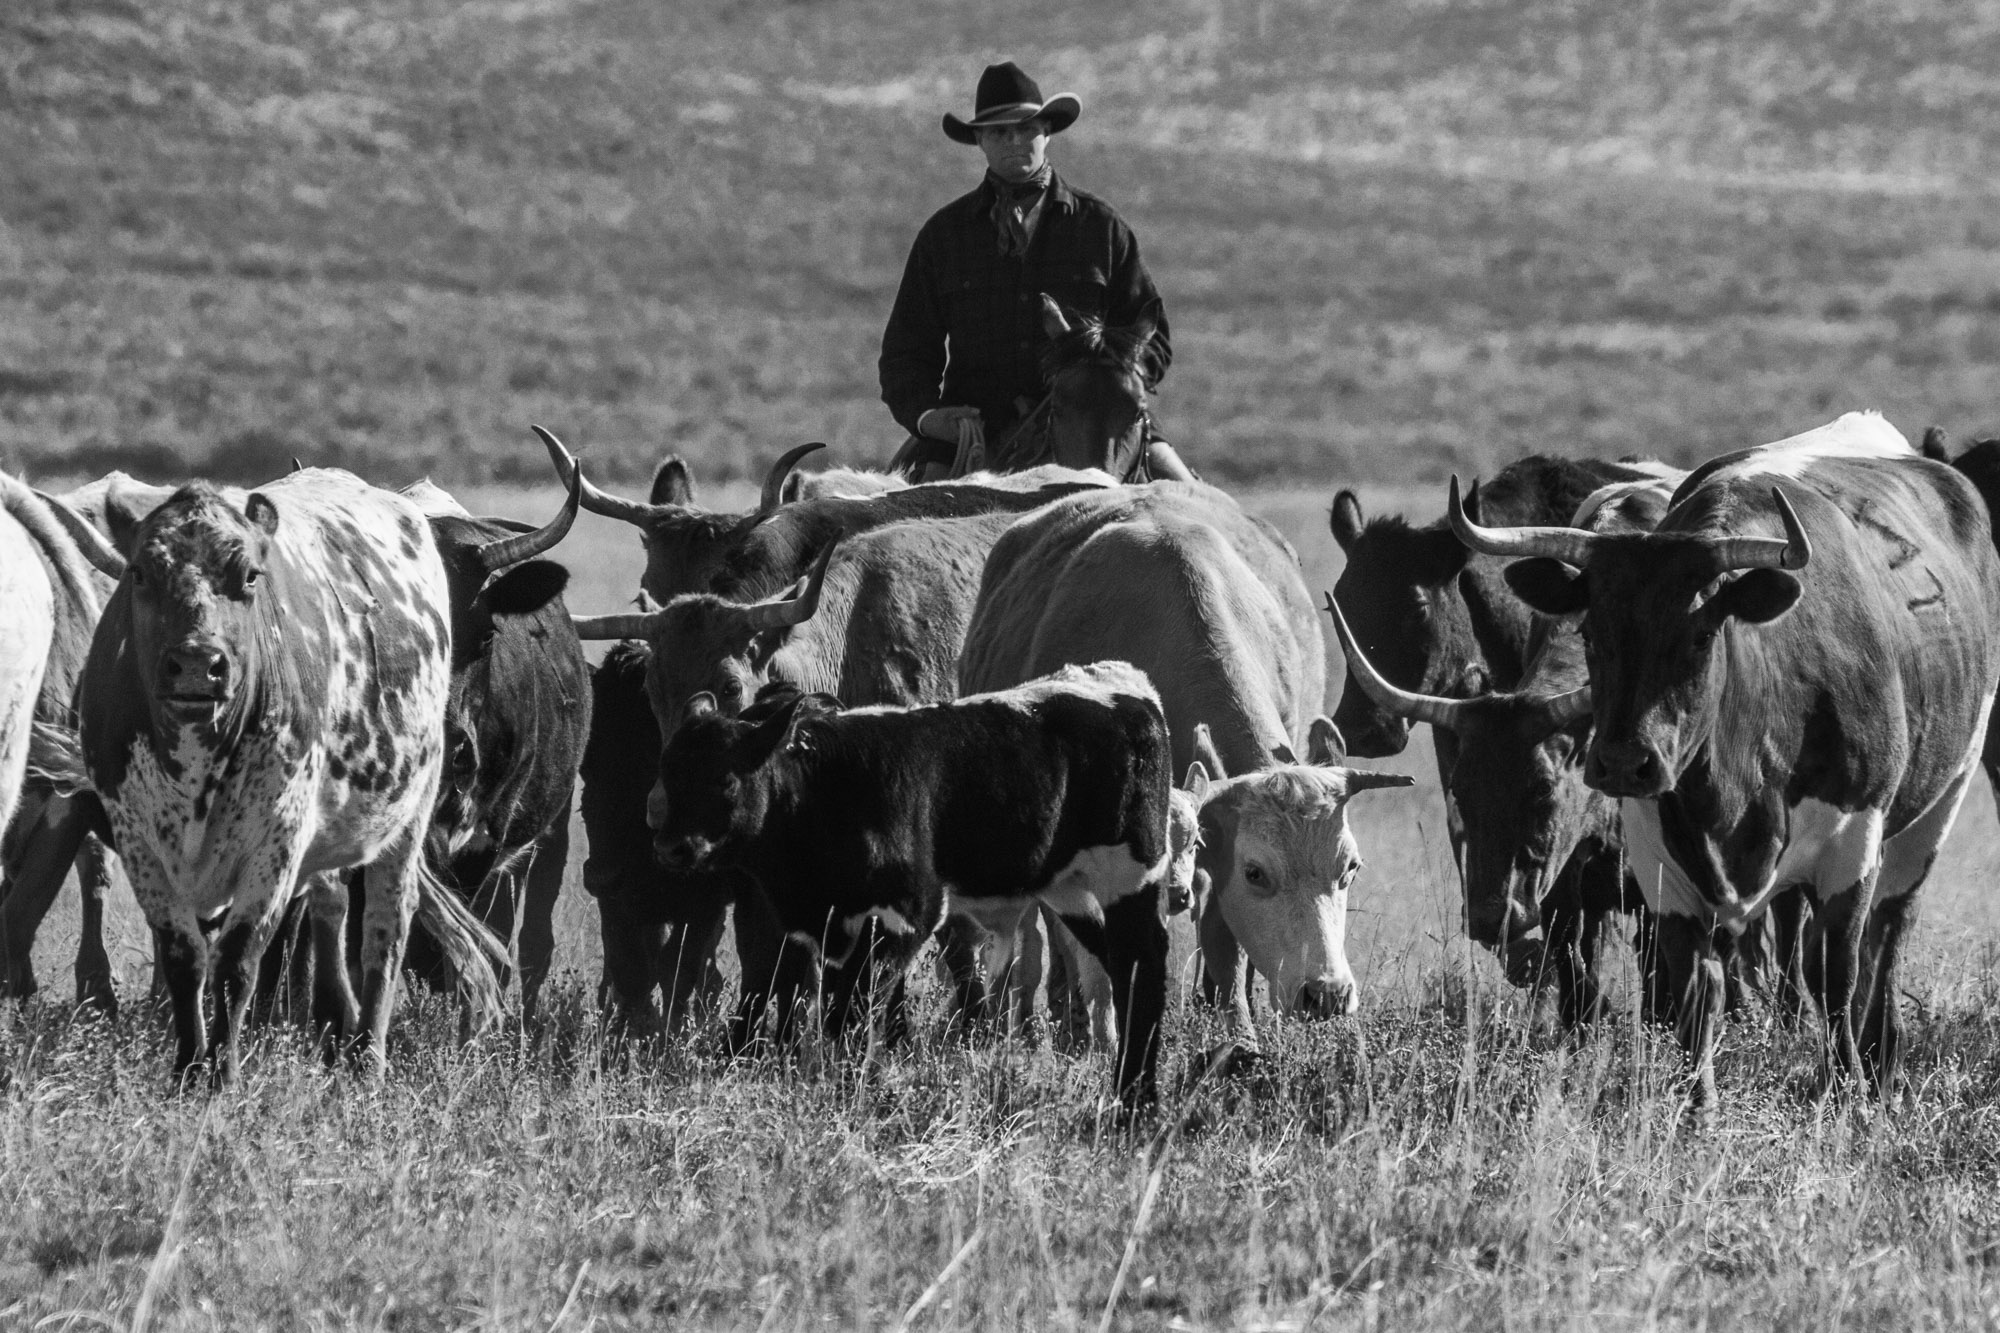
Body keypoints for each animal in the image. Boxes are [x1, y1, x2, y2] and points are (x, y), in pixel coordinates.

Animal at [75, 466, 476, 1080]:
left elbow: (237, 961)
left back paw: (369, 1055)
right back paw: (336, 1024)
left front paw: (222, 1074)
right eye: (140, 572)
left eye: (249, 575)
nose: (197, 664)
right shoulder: (139, 840)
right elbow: (184, 959)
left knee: (385, 929)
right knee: (332, 904)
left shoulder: (275, 840)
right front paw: (188, 1068)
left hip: (409, 813)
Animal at [656, 660, 1184, 1096]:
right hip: (1070, 889)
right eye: (667, 777)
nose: (671, 847)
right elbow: (830, 1007)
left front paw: (856, 1091)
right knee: (1117, 963)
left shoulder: (910, 912)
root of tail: (1122, 681)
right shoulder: (831, 926)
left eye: (725, 780)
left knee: (1143, 965)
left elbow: (858, 1011)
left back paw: (1136, 1101)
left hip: (1129, 873)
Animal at [1456, 416, 2000, 1096]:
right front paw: (1698, 1105)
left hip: (1941, 800)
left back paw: (1883, 1056)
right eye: (1589, 631)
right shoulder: (1659, 855)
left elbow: (1835, 973)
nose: (1622, 763)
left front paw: (1845, 1092)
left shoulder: (1853, 837)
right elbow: (1692, 986)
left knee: (1887, 931)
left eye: (1699, 635)